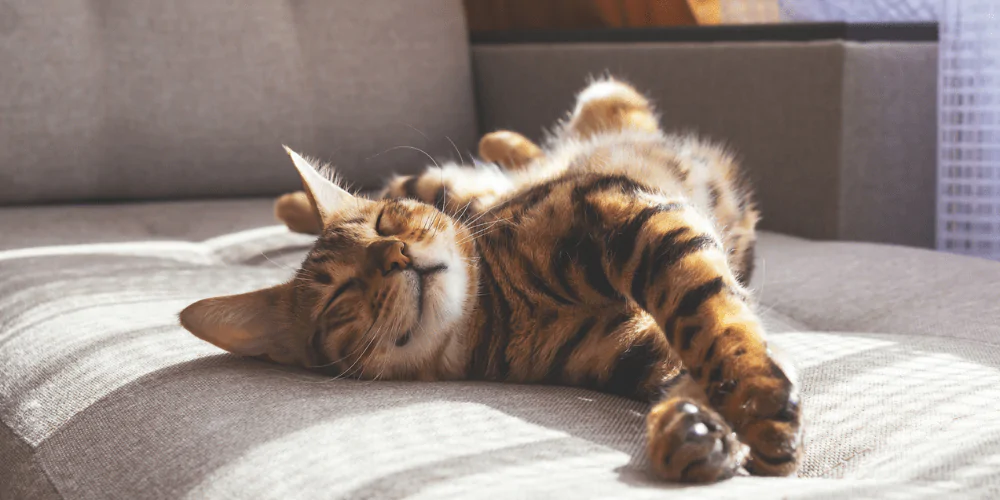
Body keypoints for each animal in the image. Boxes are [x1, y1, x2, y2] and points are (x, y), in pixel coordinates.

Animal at [182, 79, 804, 484]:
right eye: (340, 294)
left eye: (385, 224)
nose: (395, 254)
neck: (502, 310)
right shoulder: (635, 348)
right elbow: (691, 357)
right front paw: (696, 431)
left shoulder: (621, 207)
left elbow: (709, 317)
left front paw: (755, 403)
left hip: (552, 133)